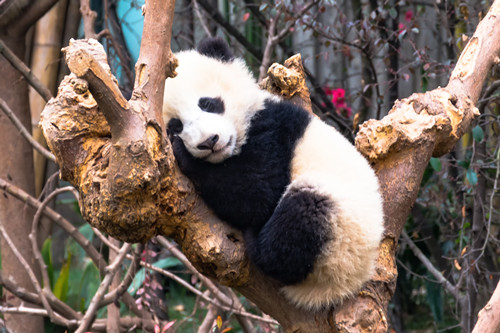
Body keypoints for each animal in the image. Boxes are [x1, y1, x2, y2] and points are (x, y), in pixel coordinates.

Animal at [162, 37, 384, 310]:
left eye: (208, 103)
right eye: (175, 125)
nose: (209, 141)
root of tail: (350, 283)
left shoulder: (273, 133)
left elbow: (258, 194)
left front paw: (183, 154)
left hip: (343, 235)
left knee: (304, 211)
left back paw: (256, 243)